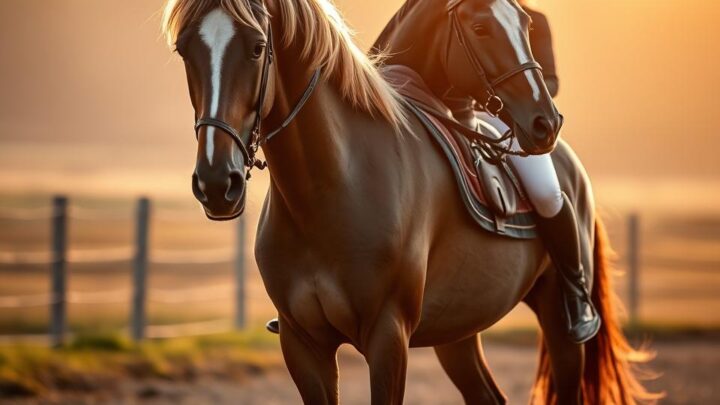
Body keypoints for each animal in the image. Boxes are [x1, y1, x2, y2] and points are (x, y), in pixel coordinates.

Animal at [161, 0, 653, 403]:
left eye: (258, 46)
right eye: (185, 50)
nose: (216, 182)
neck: (329, 189)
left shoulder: (388, 336)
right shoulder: (303, 344)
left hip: (560, 326)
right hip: (458, 331)